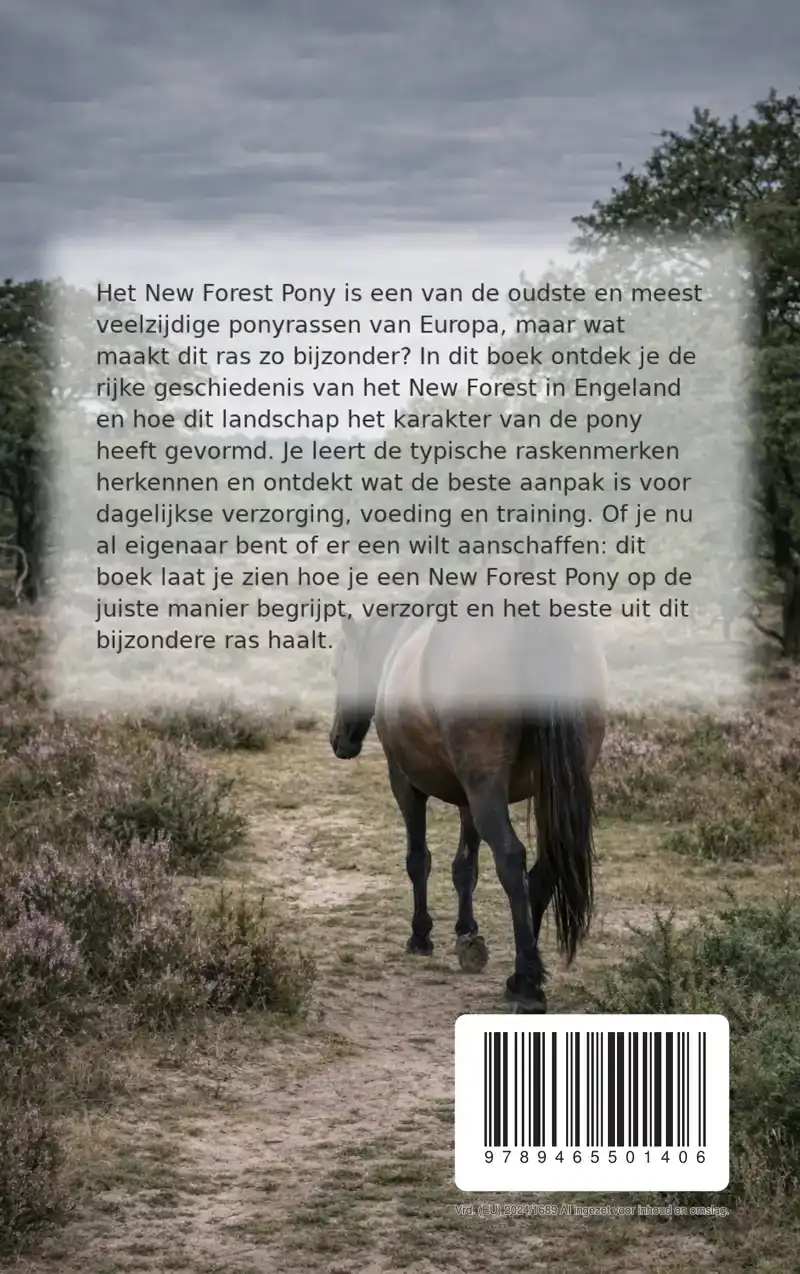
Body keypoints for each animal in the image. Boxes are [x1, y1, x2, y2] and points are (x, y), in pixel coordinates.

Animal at [328, 599, 607, 1013]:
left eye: (337, 667)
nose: (339, 740)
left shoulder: (406, 785)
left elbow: (418, 860)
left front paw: (421, 935)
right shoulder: (467, 798)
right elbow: (465, 867)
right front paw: (467, 934)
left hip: (485, 790)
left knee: (511, 859)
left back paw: (526, 983)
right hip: (546, 792)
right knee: (545, 868)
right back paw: (524, 964)